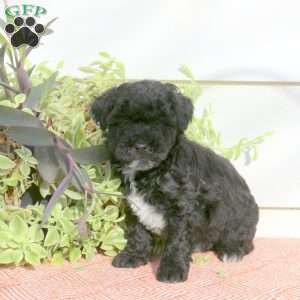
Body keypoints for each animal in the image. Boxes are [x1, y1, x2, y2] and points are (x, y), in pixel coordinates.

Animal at [90, 80, 258, 284]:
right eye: (123, 121)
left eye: (161, 122)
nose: (141, 146)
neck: (152, 171)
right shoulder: (133, 205)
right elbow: (137, 232)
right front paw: (133, 256)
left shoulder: (182, 207)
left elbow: (177, 240)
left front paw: (172, 269)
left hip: (239, 214)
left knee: (243, 238)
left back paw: (232, 250)